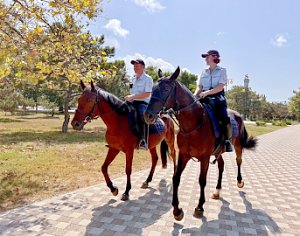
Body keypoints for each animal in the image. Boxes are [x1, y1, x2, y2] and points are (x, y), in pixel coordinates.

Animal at [144, 67, 256, 220]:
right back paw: (217, 190)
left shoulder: (205, 158)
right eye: (153, 88)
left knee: (239, 160)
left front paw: (199, 207)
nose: (148, 115)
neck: (194, 124)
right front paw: (177, 210)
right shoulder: (184, 155)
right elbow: (176, 178)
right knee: (221, 165)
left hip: (237, 145)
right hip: (218, 151)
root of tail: (238, 114)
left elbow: (202, 180)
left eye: (166, 89)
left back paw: (239, 181)